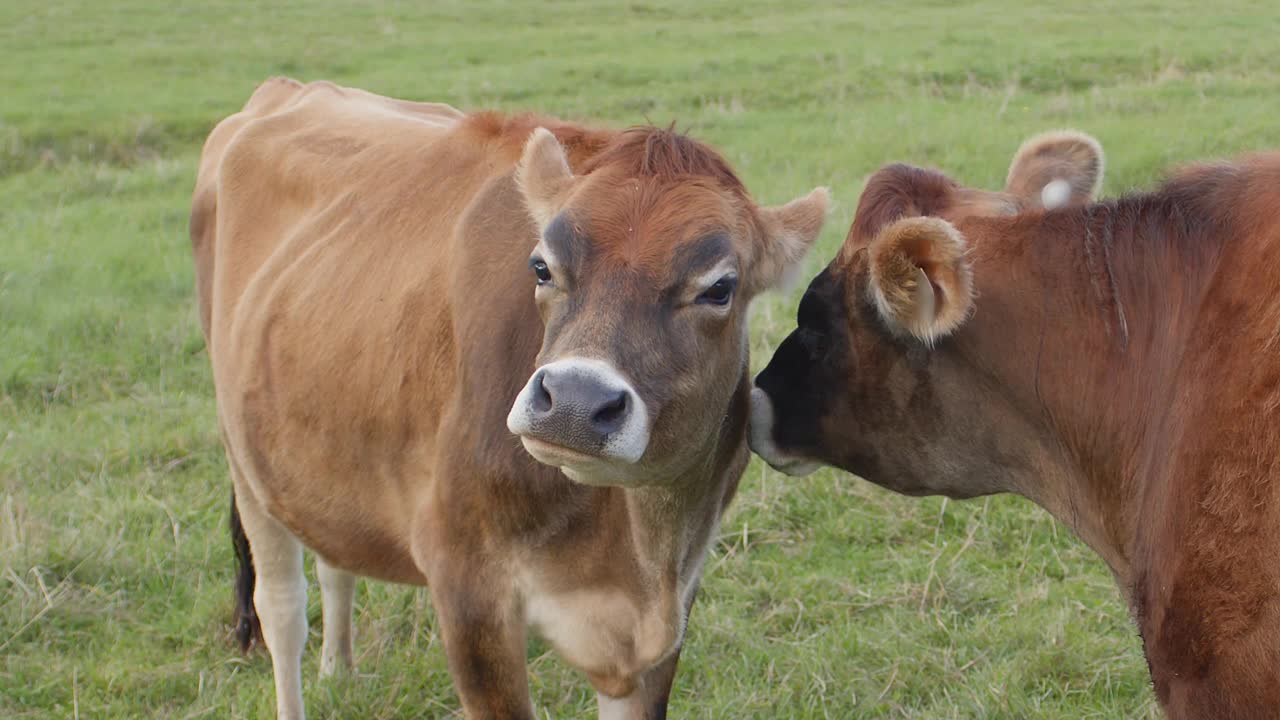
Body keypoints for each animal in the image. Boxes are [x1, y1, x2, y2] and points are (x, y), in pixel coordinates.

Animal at [189, 75, 829, 712]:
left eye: (719, 288)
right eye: (541, 267)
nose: (574, 401)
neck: (635, 554)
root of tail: (292, 85)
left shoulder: (670, 613)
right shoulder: (468, 588)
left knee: (333, 558)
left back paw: (339, 670)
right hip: (244, 456)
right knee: (282, 612)